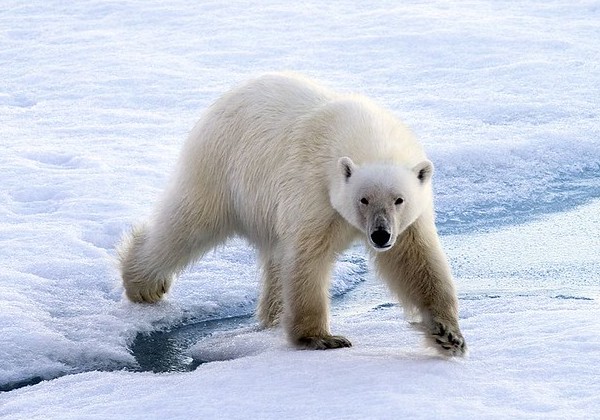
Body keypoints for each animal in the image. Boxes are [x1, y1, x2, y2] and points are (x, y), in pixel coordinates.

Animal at [117, 72, 464, 354]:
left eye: (399, 199)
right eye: (363, 199)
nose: (380, 235)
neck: (364, 134)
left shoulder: (409, 218)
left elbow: (416, 260)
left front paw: (448, 335)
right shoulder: (314, 190)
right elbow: (307, 258)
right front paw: (321, 338)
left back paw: (272, 315)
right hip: (220, 168)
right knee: (188, 225)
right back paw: (143, 285)